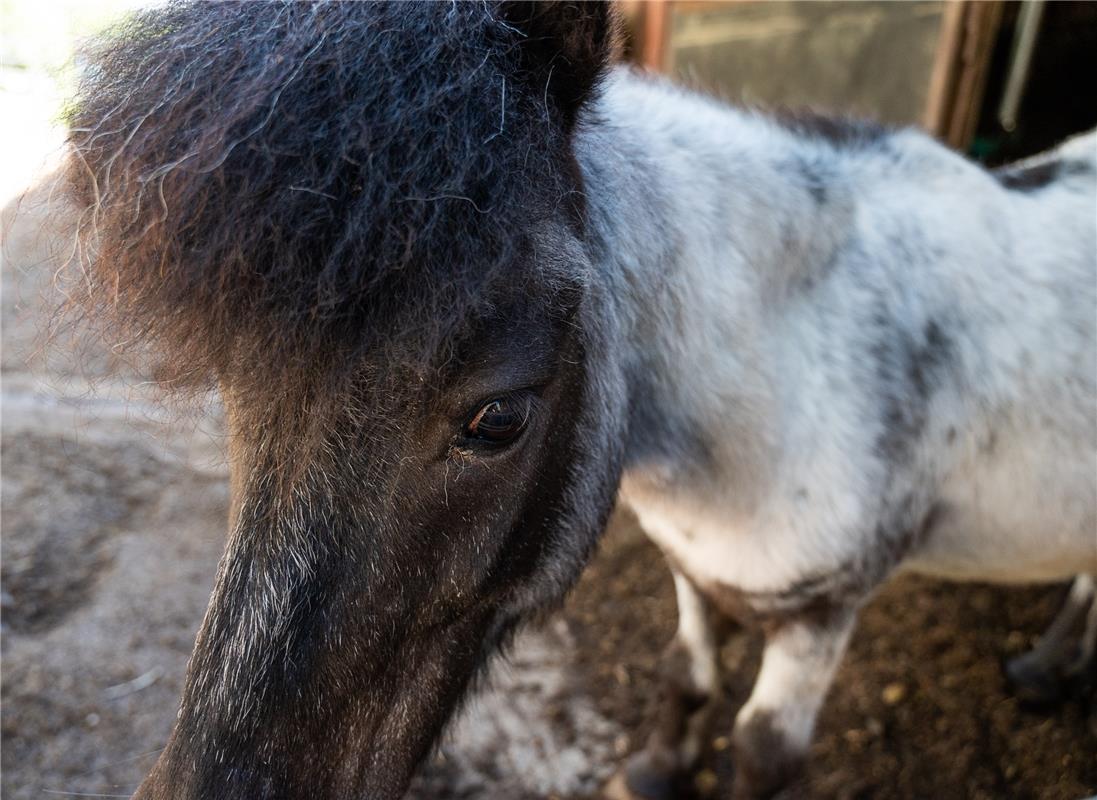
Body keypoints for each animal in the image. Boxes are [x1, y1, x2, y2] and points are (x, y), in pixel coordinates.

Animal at [68, 3, 1097, 794]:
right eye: (235, 396)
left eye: (497, 419)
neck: (794, 360)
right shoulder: (692, 566)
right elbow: (685, 676)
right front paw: (652, 770)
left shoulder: (819, 616)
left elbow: (759, 754)